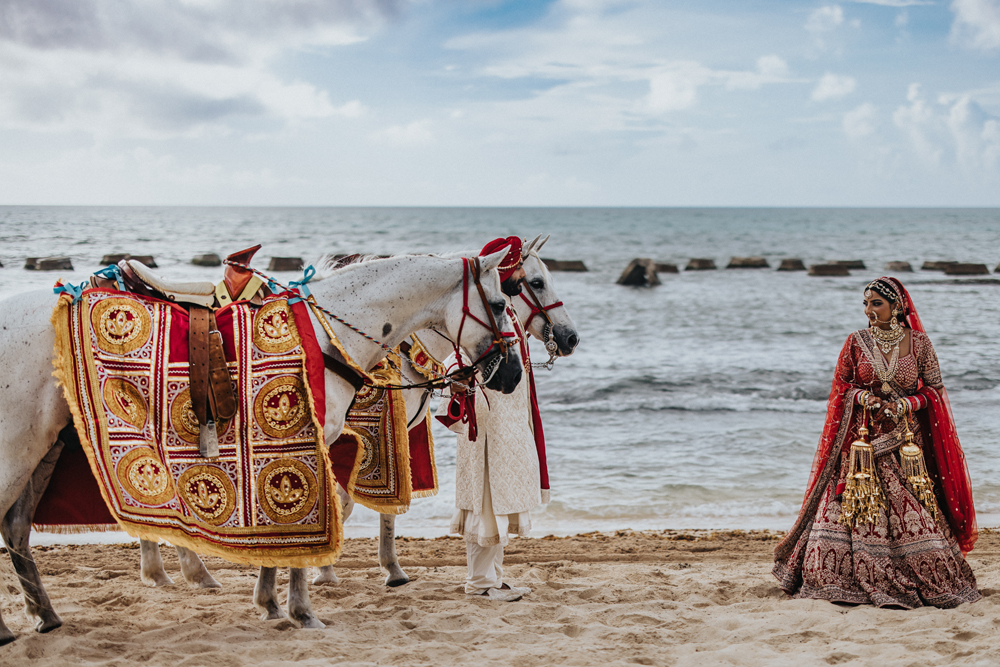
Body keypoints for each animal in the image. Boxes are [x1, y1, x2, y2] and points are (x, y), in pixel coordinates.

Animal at [0, 250, 520, 640]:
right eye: (498, 302)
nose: (512, 375)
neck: (328, 336)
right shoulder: (306, 445)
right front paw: (302, 611)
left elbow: (279, 533)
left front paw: (270, 603)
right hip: (16, 447)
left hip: (45, 450)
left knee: (16, 528)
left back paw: (46, 617)